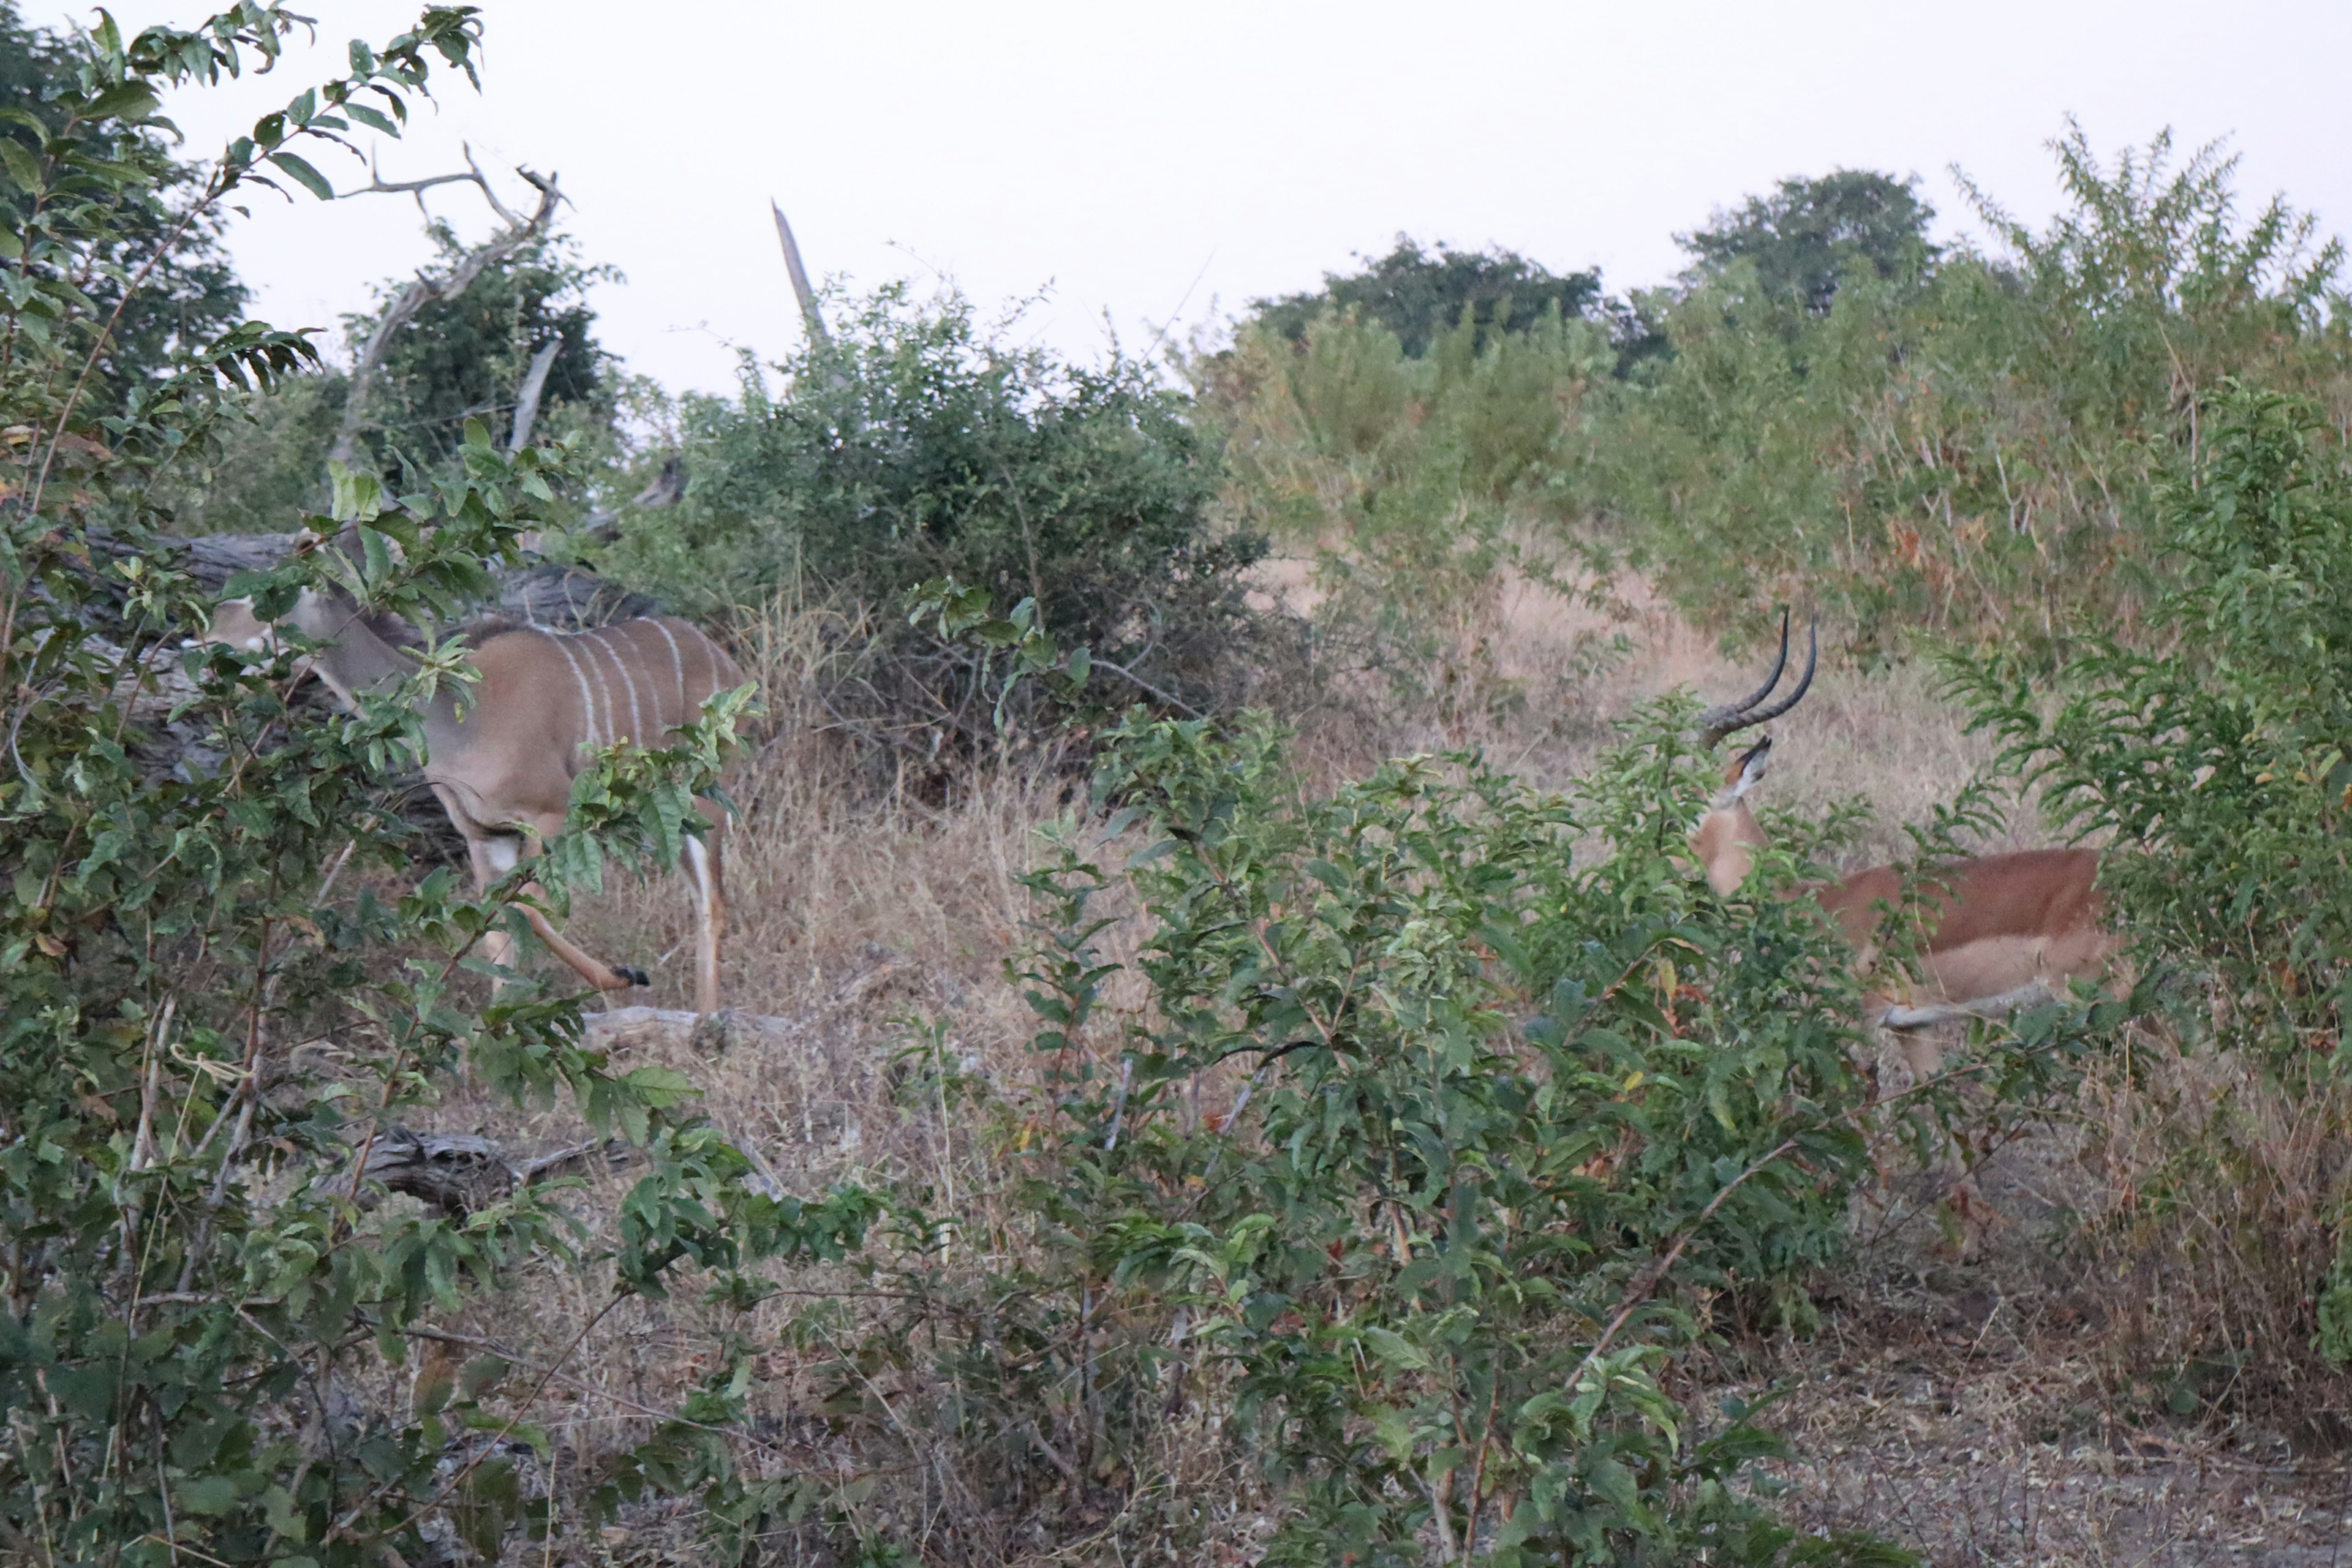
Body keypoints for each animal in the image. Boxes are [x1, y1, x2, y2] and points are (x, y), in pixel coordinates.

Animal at [214, 587, 743, 1020]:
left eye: (267, 602)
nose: (209, 635)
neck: (458, 718)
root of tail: (723, 659)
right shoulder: (484, 835)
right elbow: (496, 934)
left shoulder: (551, 816)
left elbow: (528, 911)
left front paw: (623, 975)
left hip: (703, 797)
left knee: (714, 901)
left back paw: (708, 1024)